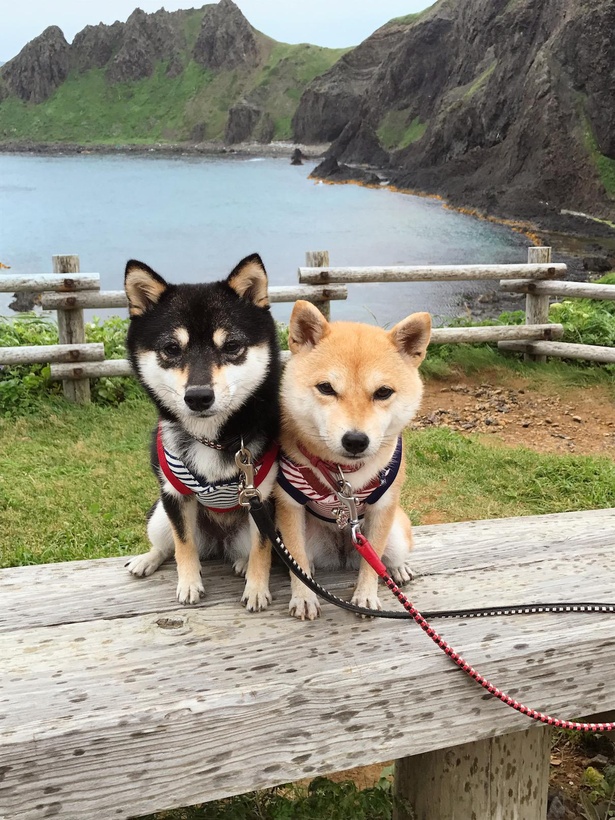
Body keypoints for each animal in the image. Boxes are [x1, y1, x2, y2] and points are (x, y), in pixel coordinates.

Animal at [124, 256, 282, 608]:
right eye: (171, 348)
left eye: (232, 345)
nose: (198, 397)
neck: (212, 438)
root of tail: (218, 542)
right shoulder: (174, 495)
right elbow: (183, 546)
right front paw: (188, 584)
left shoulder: (263, 497)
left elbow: (262, 550)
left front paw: (257, 588)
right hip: (159, 517)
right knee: (170, 545)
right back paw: (147, 559)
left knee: (248, 549)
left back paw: (241, 564)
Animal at [276, 300, 430, 616]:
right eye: (326, 388)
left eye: (383, 392)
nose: (356, 440)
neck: (343, 471)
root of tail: (344, 551)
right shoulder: (289, 503)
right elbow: (297, 560)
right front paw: (304, 597)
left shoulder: (383, 506)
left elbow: (372, 566)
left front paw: (366, 596)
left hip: (395, 533)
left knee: (384, 557)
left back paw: (398, 569)